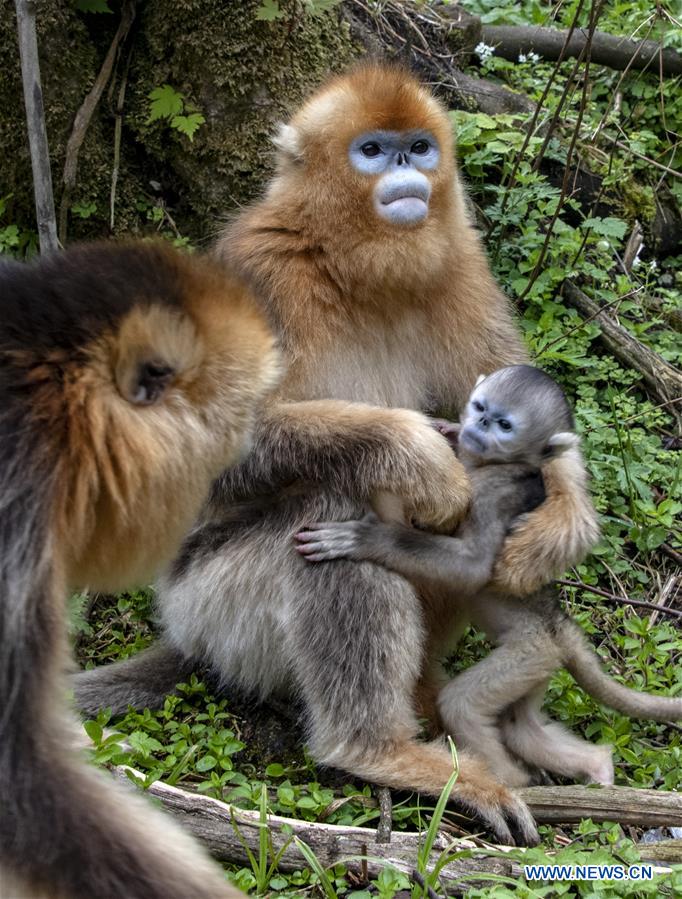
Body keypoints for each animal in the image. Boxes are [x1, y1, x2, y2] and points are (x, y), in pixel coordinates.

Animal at [73, 65, 602, 847]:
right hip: (213, 605)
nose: (408, 166)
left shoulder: (461, 264)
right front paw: (416, 454)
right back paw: (381, 750)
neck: (354, 266)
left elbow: (518, 396)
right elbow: (212, 446)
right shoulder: (260, 270)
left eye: (418, 145)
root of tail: (186, 633)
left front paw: (563, 515)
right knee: (334, 504)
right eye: (372, 150)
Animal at [296, 365, 682, 788]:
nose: (479, 423)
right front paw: (443, 430)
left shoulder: (493, 493)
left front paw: (368, 538)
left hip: (529, 653)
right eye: (481, 407)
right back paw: (598, 765)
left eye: (504, 425)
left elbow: (473, 566)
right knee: (521, 727)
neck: (493, 465)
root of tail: (556, 622)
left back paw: (508, 782)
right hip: (541, 666)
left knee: (462, 705)